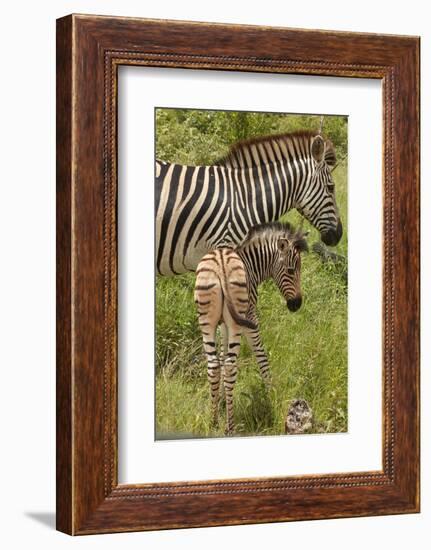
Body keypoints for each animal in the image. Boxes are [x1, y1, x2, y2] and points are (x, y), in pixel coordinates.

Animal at [194, 223, 308, 436]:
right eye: (291, 270)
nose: (297, 305)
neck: (251, 265)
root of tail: (221, 267)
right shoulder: (250, 315)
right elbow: (261, 354)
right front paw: (271, 393)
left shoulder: (223, 324)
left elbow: (221, 356)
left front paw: (222, 400)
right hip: (238, 320)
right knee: (231, 365)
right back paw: (230, 426)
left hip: (206, 319)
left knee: (213, 365)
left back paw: (213, 421)